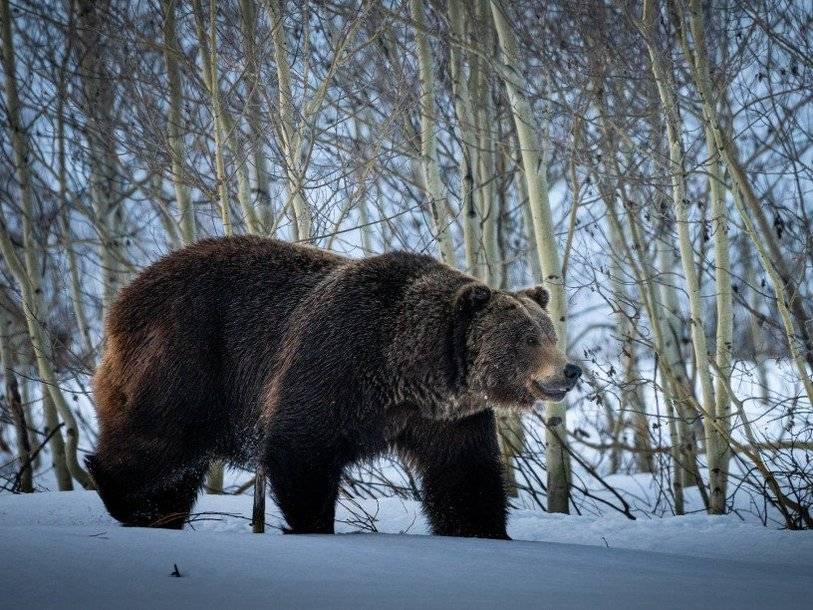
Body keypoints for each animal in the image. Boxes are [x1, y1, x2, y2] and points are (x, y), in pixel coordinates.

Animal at [87, 235, 576, 536]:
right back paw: (130, 502)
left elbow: (463, 473)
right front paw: (314, 524)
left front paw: (484, 531)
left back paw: (162, 514)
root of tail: (124, 297)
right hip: (187, 355)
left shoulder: (443, 415)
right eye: (527, 338)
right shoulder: (335, 361)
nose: (570, 370)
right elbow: (302, 447)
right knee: (161, 439)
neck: (409, 368)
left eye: (549, 332)